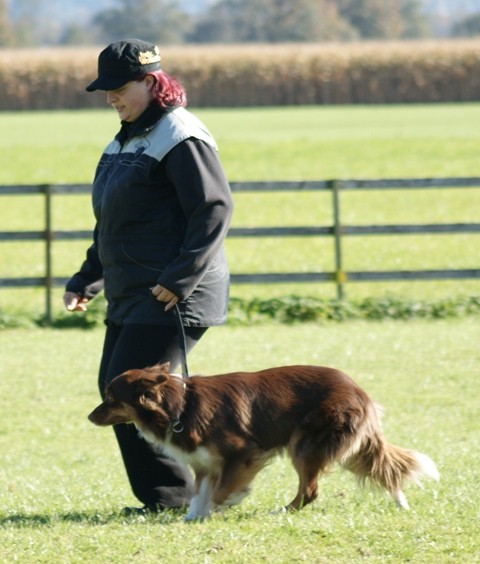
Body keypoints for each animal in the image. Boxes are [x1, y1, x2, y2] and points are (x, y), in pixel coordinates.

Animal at [88, 363, 439, 521]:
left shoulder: (243, 452)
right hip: (345, 446)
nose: (89, 417)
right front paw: (194, 516)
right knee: (383, 470)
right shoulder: (205, 463)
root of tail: (358, 389)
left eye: (110, 398)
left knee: (310, 491)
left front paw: (228, 502)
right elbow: (201, 492)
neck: (179, 408)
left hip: (305, 443)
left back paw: (281, 511)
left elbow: (221, 490)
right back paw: (400, 501)